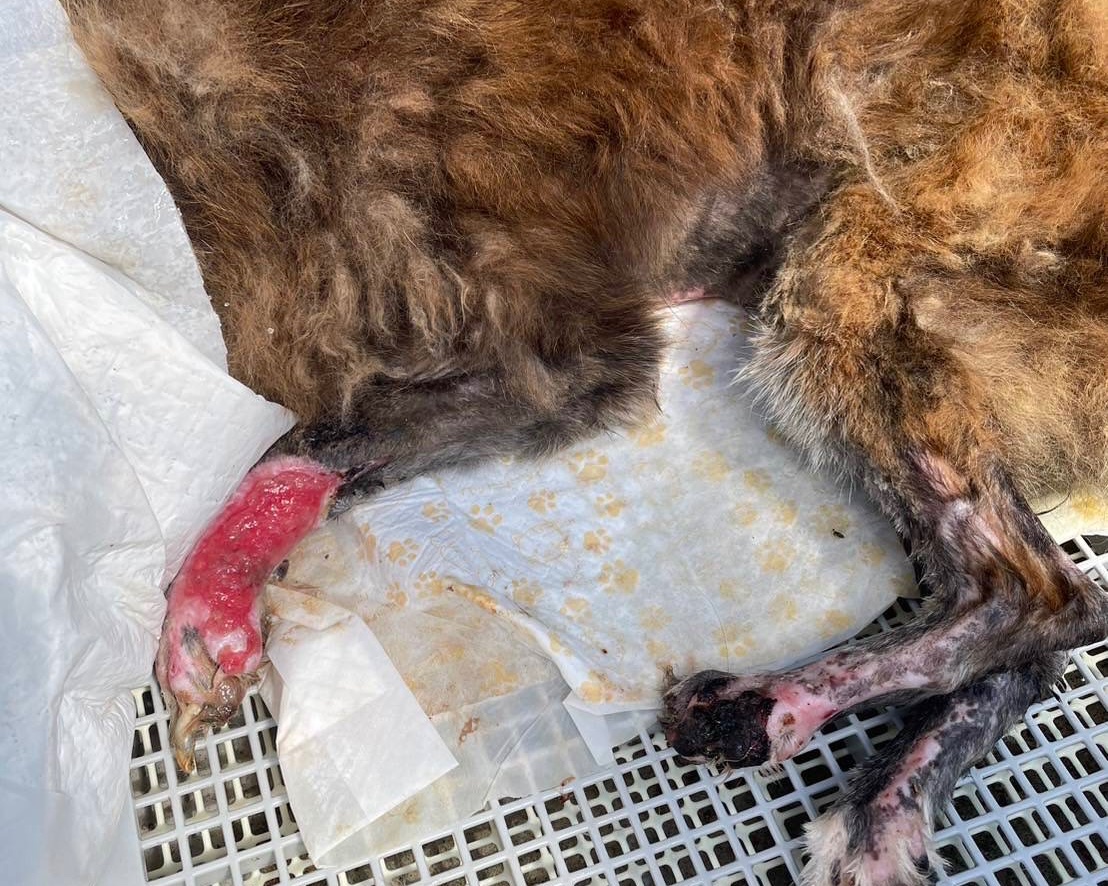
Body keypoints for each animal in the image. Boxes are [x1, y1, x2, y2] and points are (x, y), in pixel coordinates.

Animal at [64, 1, 1108, 882]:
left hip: (847, 273)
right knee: (1044, 631)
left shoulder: (543, 352)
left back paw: (772, 709)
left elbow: (307, 443)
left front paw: (206, 611)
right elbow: (309, 446)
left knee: (1043, 596)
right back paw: (883, 812)